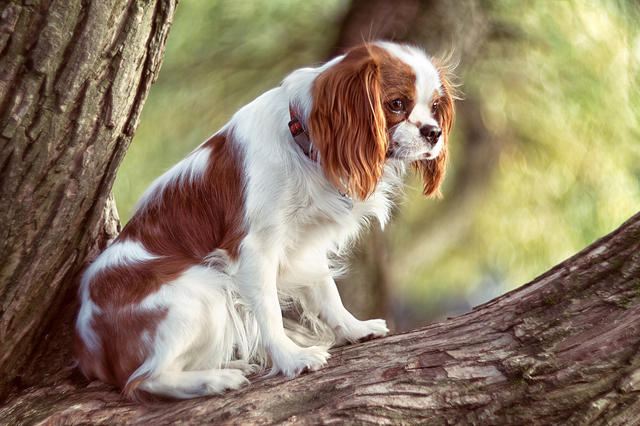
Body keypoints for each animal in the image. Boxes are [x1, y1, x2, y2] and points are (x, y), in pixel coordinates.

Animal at [74, 41, 456, 402]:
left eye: (435, 106)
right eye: (396, 104)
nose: (433, 133)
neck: (303, 141)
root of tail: (87, 349)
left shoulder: (306, 244)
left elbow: (326, 292)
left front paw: (353, 329)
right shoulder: (255, 250)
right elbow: (269, 311)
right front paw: (291, 359)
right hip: (202, 292)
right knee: (142, 381)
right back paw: (217, 379)